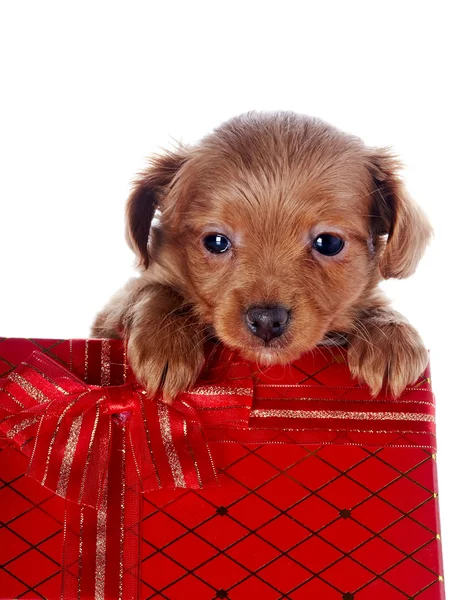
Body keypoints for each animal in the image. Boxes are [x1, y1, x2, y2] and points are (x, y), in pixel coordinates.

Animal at [92, 112, 432, 404]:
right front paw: (165, 345)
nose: (267, 321)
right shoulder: (111, 313)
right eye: (216, 241)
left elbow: (377, 307)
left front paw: (391, 338)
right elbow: (153, 290)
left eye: (329, 243)